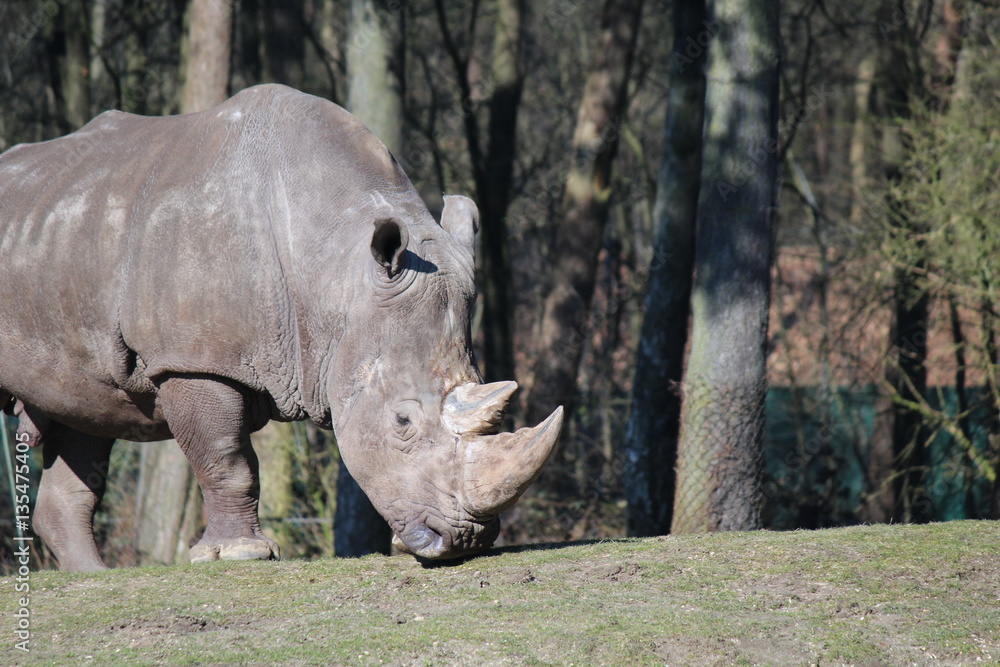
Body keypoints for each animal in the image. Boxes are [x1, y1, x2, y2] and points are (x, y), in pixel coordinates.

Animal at [0, 84, 562, 572]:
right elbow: (225, 456)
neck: (335, 273)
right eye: (402, 421)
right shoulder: (193, 357)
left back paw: (91, 576)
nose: (465, 540)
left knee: (85, 414)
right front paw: (240, 555)